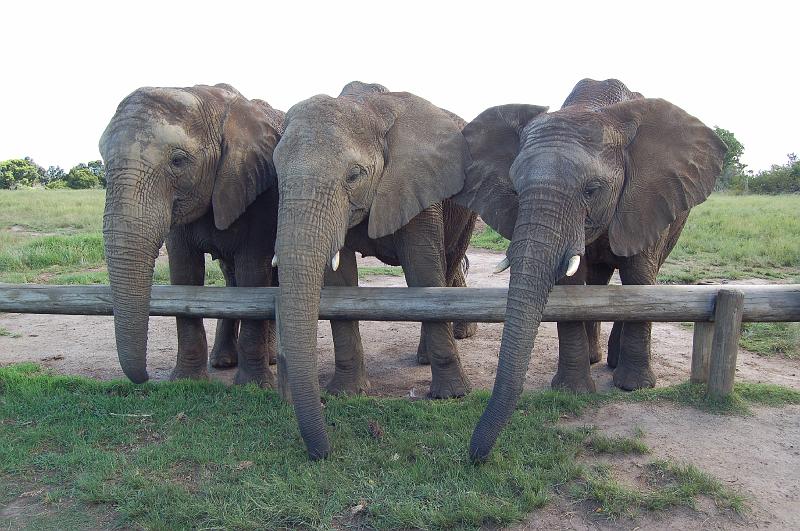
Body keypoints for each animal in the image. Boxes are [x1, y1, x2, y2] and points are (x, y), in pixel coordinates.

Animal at [99, 83, 283, 387]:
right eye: (103, 161)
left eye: (178, 161)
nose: (145, 377)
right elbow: (185, 273)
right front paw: (186, 381)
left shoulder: (260, 189)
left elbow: (253, 273)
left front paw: (254, 385)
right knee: (231, 278)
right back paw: (222, 362)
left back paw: (269, 361)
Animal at [272, 81, 477, 459]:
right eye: (277, 174)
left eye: (354, 176)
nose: (325, 451)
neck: (367, 107)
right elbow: (339, 279)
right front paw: (346, 393)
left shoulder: (417, 180)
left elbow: (423, 271)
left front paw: (452, 395)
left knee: (447, 264)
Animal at [452, 78, 727, 461]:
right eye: (515, 191)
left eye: (592, 190)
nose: (475, 457)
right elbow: (572, 286)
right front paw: (572, 392)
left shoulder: (648, 197)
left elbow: (639, 281)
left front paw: (634, 387)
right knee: (597, 281)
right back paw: (597, 357)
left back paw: (613, 362)